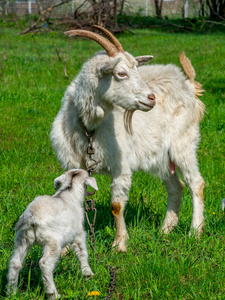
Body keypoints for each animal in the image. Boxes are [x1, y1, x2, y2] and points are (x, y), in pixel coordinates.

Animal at [6, 170, 96, 298]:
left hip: (22, 238)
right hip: (52, 241)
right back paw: (52, 293)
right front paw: (87, 273)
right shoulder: (78, 233)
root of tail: (31, 216)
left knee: (15, 263)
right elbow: (82, 252)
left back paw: (12, 292)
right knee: (45, 264)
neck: (69, 192)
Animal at [51, 25, 206, 252]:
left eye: (136, 70)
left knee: (196, 183)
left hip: (183, 143)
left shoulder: (120, 164)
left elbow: (116, 205)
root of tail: (189, 85)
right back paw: (165, 230)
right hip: (160, 156)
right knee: (176, 186)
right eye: (121, 73)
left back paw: (194, 232)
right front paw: (65, 249)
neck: (89, 128)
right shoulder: (73, 165)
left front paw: (119, 244)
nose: (151, 98)